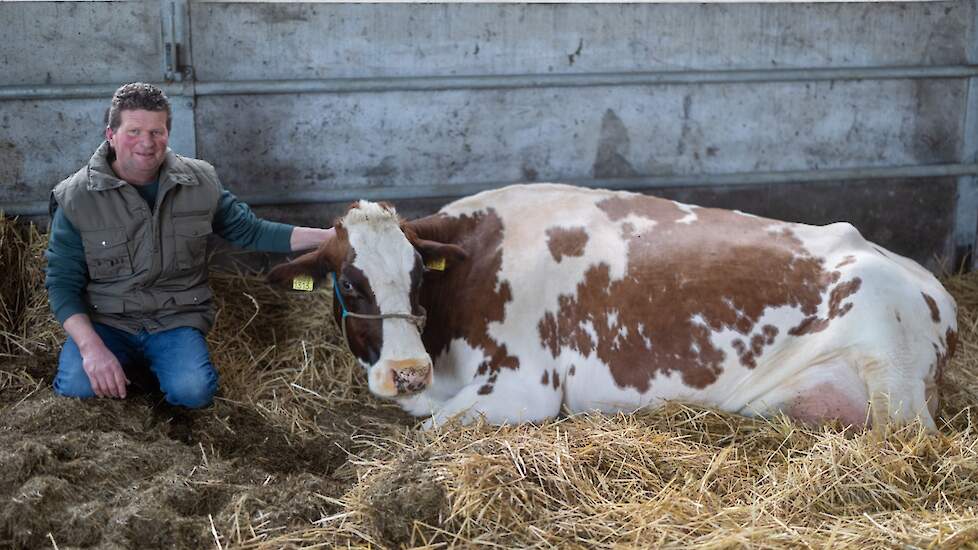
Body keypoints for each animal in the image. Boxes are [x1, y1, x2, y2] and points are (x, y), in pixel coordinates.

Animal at [266, 183, 952, 434]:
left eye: (416, 278)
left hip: (893, 386)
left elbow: (429, 437)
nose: (406, 372)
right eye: (349, 284)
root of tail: (934, 287)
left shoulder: (526, 387)